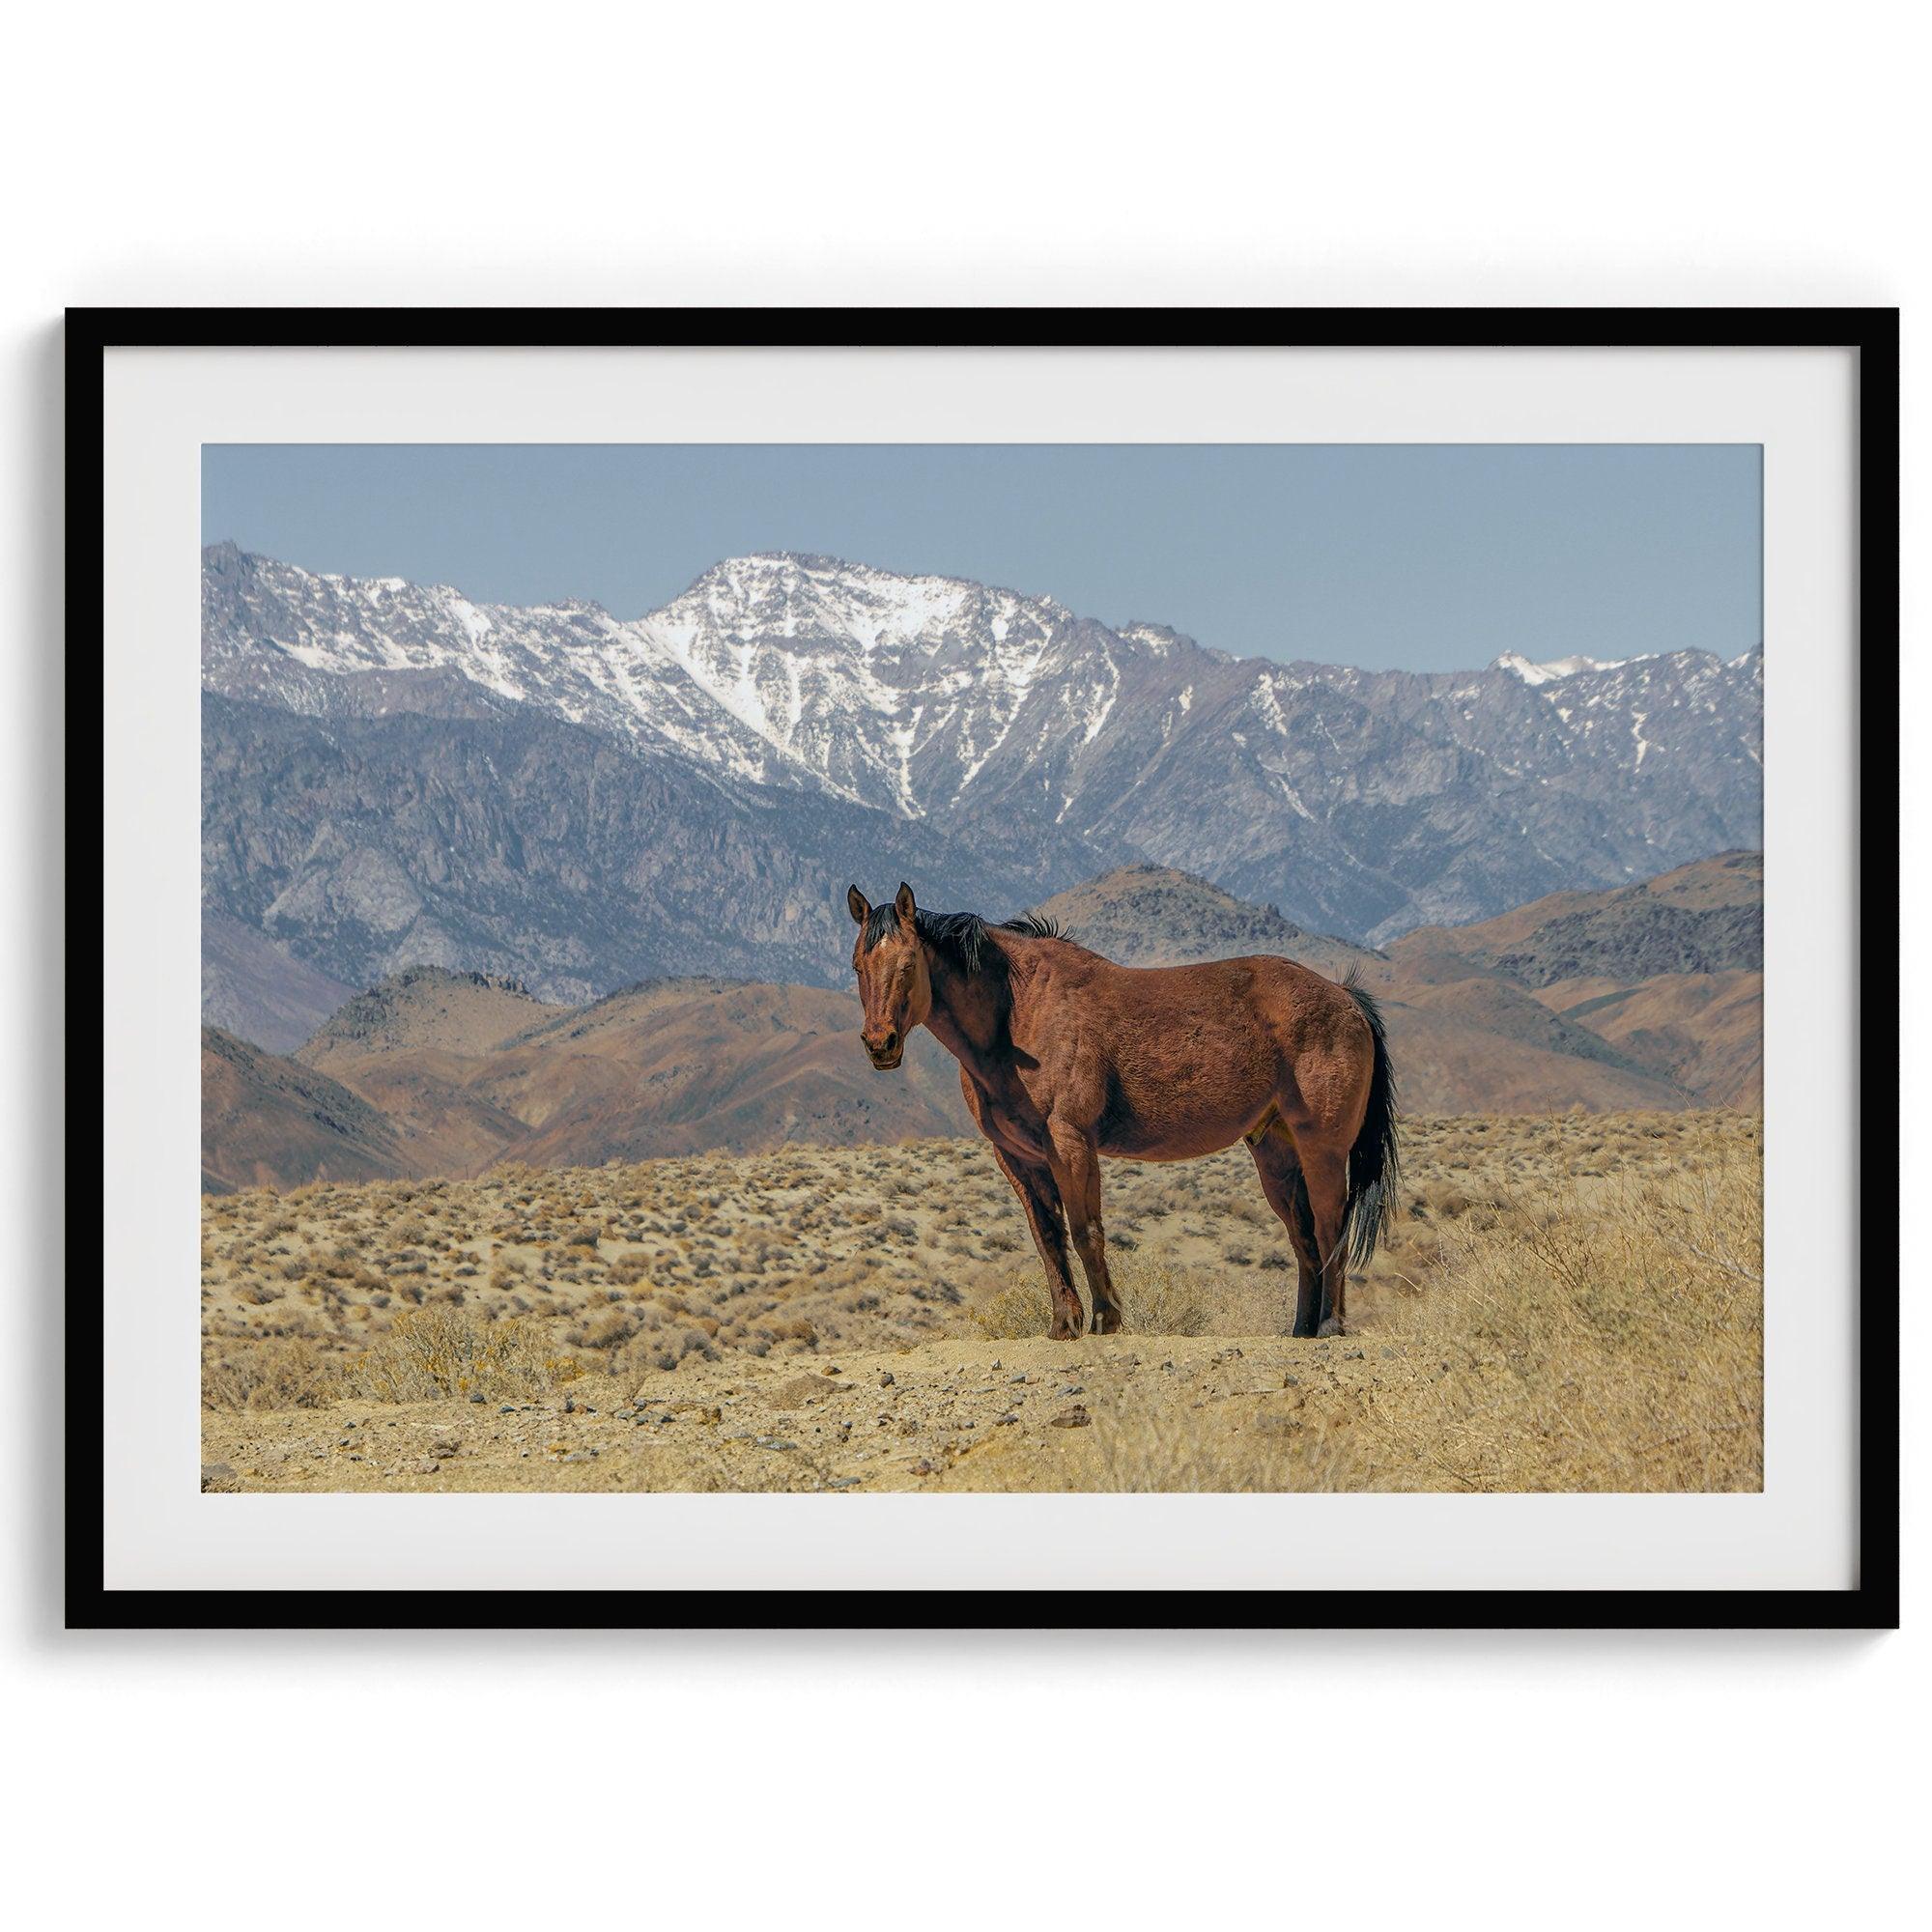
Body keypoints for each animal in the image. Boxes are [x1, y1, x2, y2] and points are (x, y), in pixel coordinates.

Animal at [842, 885, 1391, 1337]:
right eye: (857, 966)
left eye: (908, 964)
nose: (879, 1045)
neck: (1020, 1012)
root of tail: (1346, 998)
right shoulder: (1016, 1157)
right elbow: (1047, 1237)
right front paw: (1064, 1325)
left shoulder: (1070, 1143)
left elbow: (1086, 1231)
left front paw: (1106, 1319)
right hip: (1275, 1151)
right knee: (1303, 1237)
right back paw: (1301, 1329)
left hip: (1322, 1148)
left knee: (1330, 1227)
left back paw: (1330, 1326)